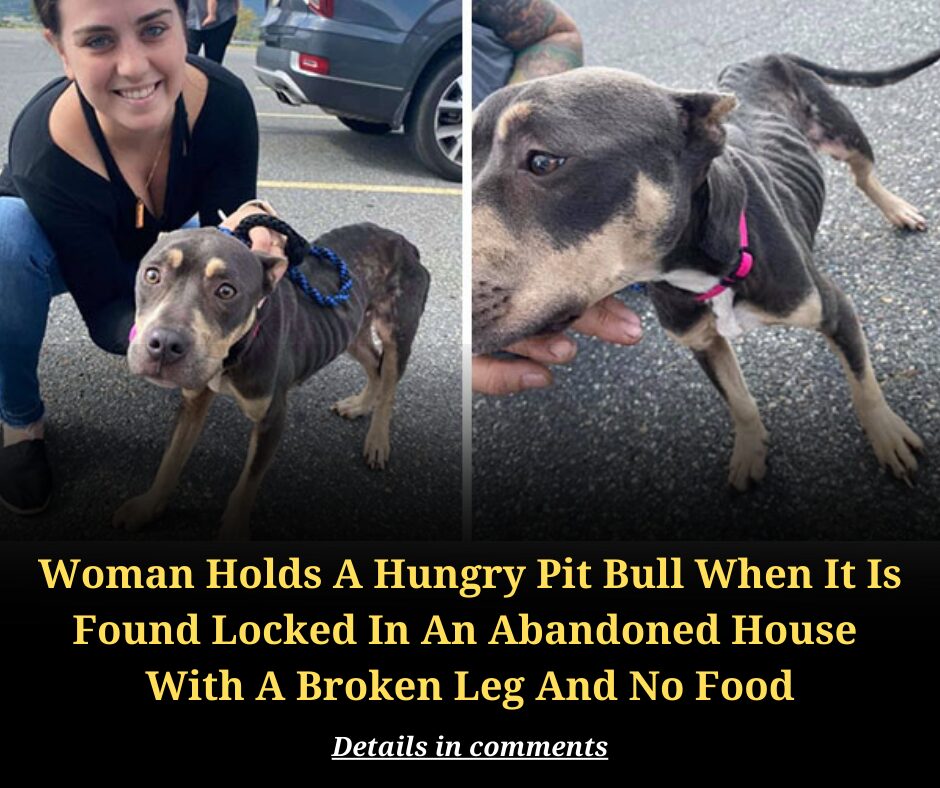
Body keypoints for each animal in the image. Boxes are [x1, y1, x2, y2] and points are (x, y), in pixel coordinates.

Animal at [113, 208, 430, 540]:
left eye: (226, 291)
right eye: (152, 274)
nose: (164, 345)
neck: (237, 349)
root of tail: (403, 241)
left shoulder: (271, 419)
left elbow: (246, 486)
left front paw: (233, 532)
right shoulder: (193, 401)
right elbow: (171, 459)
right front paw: (148, 506)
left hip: (397, 333)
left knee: (388, 384)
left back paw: (377, 441)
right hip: (352, 330)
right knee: (374, 366)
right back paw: (359, 405)